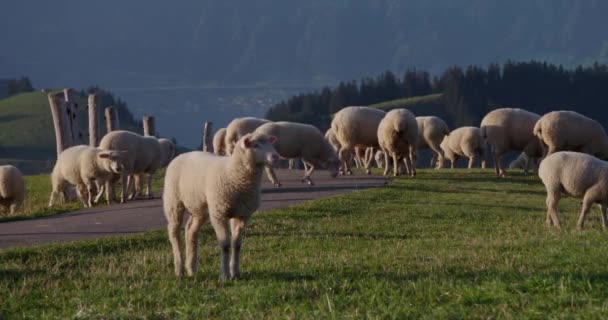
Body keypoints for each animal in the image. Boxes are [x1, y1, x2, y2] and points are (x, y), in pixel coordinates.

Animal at [164, 131, 282, 278]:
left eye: (271, 143)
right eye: (255, 145)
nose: (276, 157)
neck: (233, 173)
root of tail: (181, 155)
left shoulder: (242, 214)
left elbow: (237, 244)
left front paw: (235, 273)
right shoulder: (219, 213)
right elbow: (225, 245)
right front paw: (225, 275)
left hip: (199, 207)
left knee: (191, 231)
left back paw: (191, 269)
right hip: (173, 200)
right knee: (174, 233)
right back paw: (179, 269)